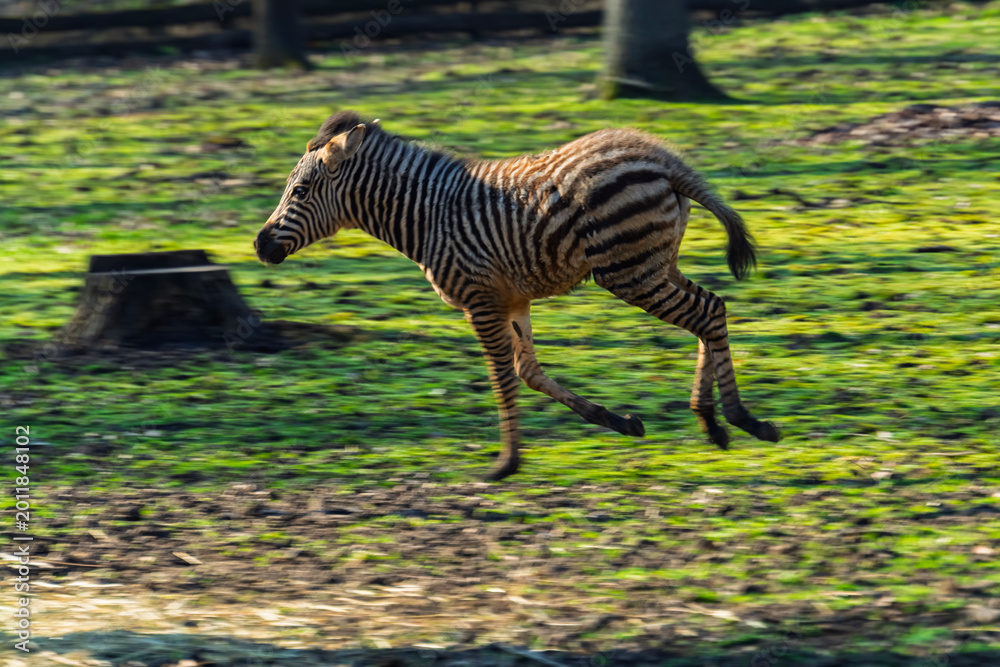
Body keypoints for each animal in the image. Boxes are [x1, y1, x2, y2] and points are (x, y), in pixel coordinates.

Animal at [255, 111, 780, 480]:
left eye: (299, 191)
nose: (259, 246)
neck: (428, 217)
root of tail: (660, 157)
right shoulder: (512, 300)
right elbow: (528, 372)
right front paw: (617, 420)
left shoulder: (480, 300)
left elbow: (502, 378)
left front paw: (506, 463)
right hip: (657, 264)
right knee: (713, 309)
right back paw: (713, 423)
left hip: (630, 273)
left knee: (706, 314)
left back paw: (739, 419)